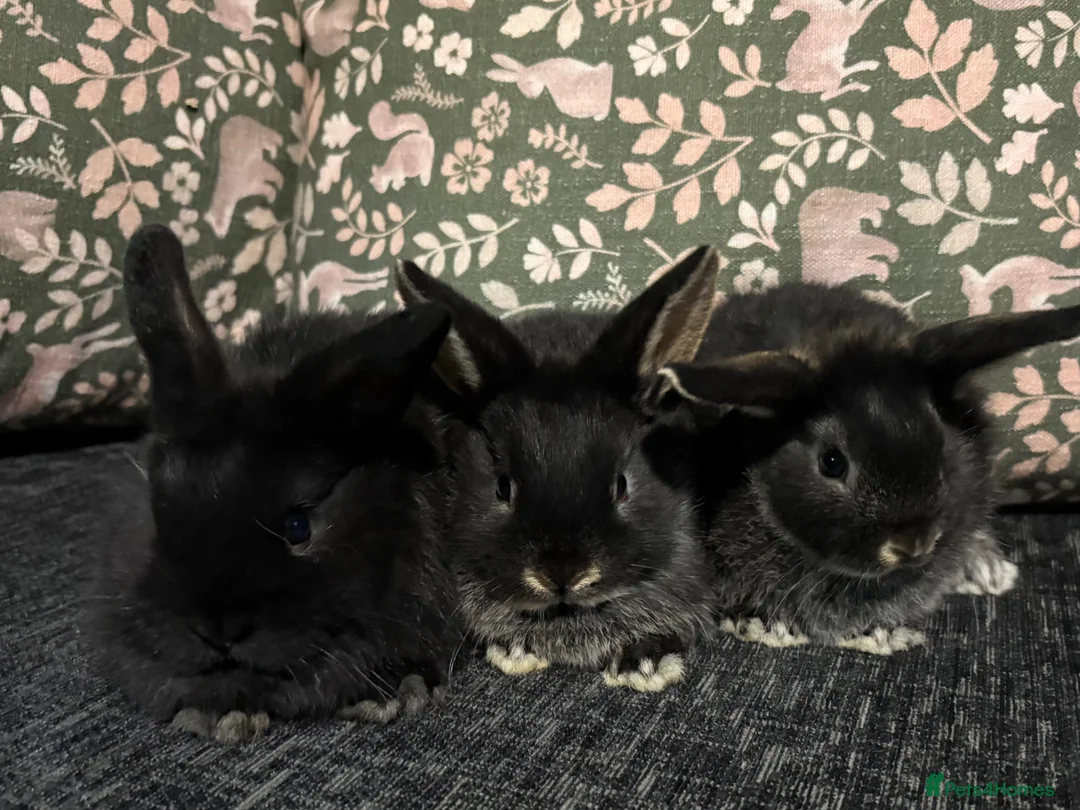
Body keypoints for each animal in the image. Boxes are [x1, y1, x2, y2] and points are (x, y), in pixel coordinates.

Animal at [656, 282, 1080, 655]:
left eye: (941, 442)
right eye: (831, 462)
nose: (913, 544)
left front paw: (881, 632)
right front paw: (764, 624)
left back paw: (989, 568)